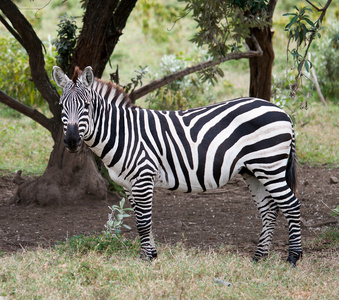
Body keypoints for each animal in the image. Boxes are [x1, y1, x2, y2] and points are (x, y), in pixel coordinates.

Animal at [52, 65, 302, 264]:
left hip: (269, 166)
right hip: (253, 170)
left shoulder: (143, 177)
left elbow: (144, 221)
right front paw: (149, 254)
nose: (72, 141)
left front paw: (148, 260)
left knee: (291, 206)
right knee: (269, 210)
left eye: (86, 106)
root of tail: (283, 112)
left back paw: (293, 258)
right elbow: (140, 219)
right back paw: (259, 257)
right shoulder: (129, 184)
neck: (123, 133)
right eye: (62, 106)